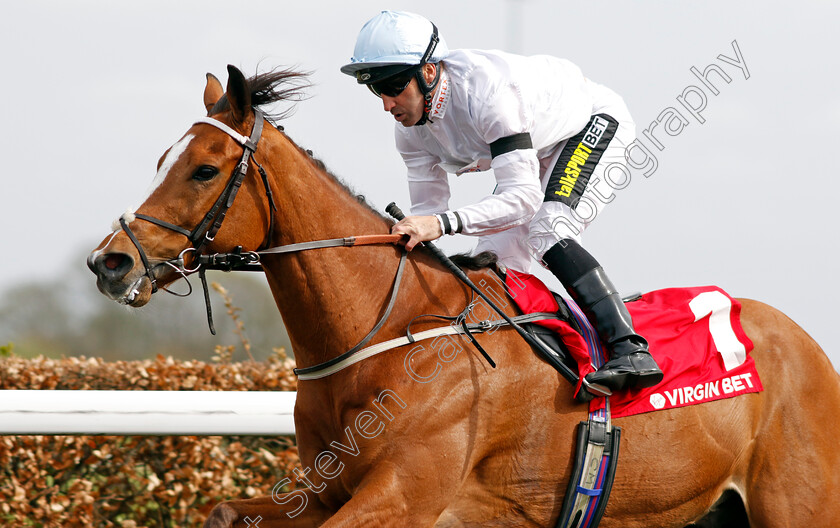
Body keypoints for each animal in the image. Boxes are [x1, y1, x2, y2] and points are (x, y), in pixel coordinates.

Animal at [87, 67, 840, 528]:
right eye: (164, 161)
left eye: (203, 169)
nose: (109, 262)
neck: (385, 335)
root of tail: (806, 346)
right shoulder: (327, 490)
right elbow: (223, 511)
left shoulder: (402, 500)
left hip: (798, 505)